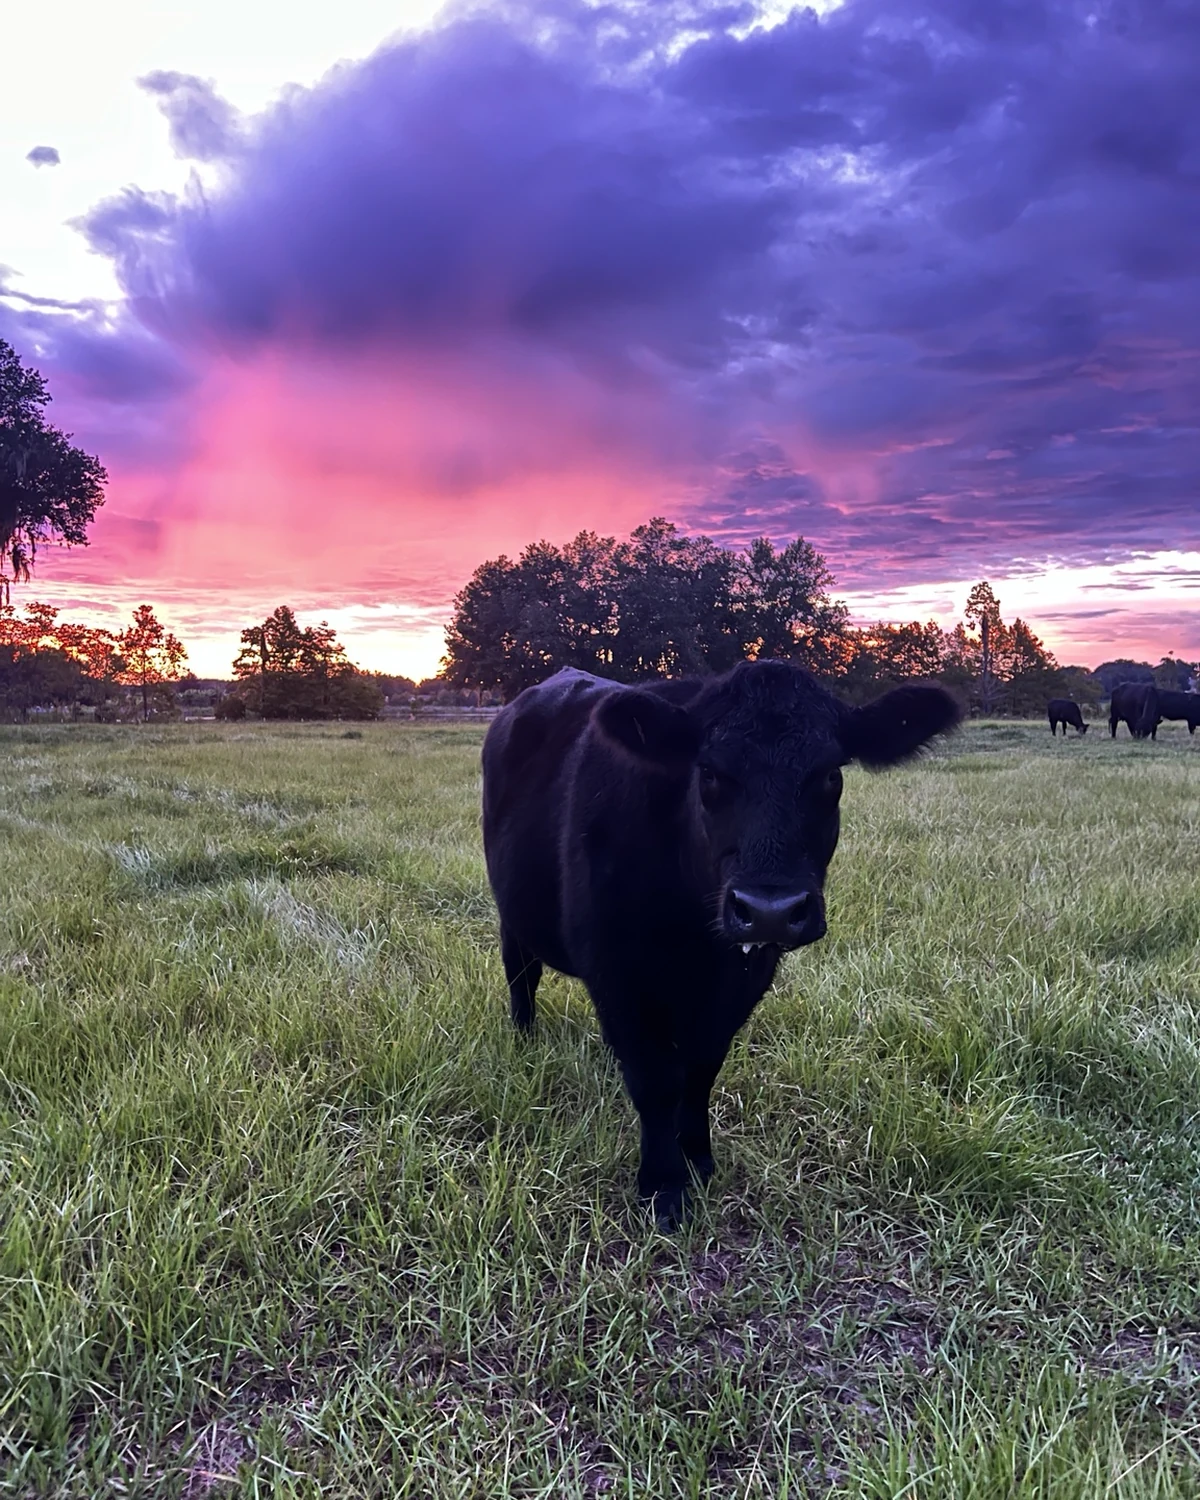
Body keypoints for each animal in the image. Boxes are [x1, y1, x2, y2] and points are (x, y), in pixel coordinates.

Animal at [481, 661, 961, 1229]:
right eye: (709, 772)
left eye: (830, 775)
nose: (769, 908)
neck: (692, 933)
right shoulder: (614, 970)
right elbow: (655, 1079)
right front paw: (663, 1185)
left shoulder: (743, 978)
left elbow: (701, 1067)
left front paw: (697, 1156)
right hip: (512, 912)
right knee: (522, 973)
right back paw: (524, 1040)